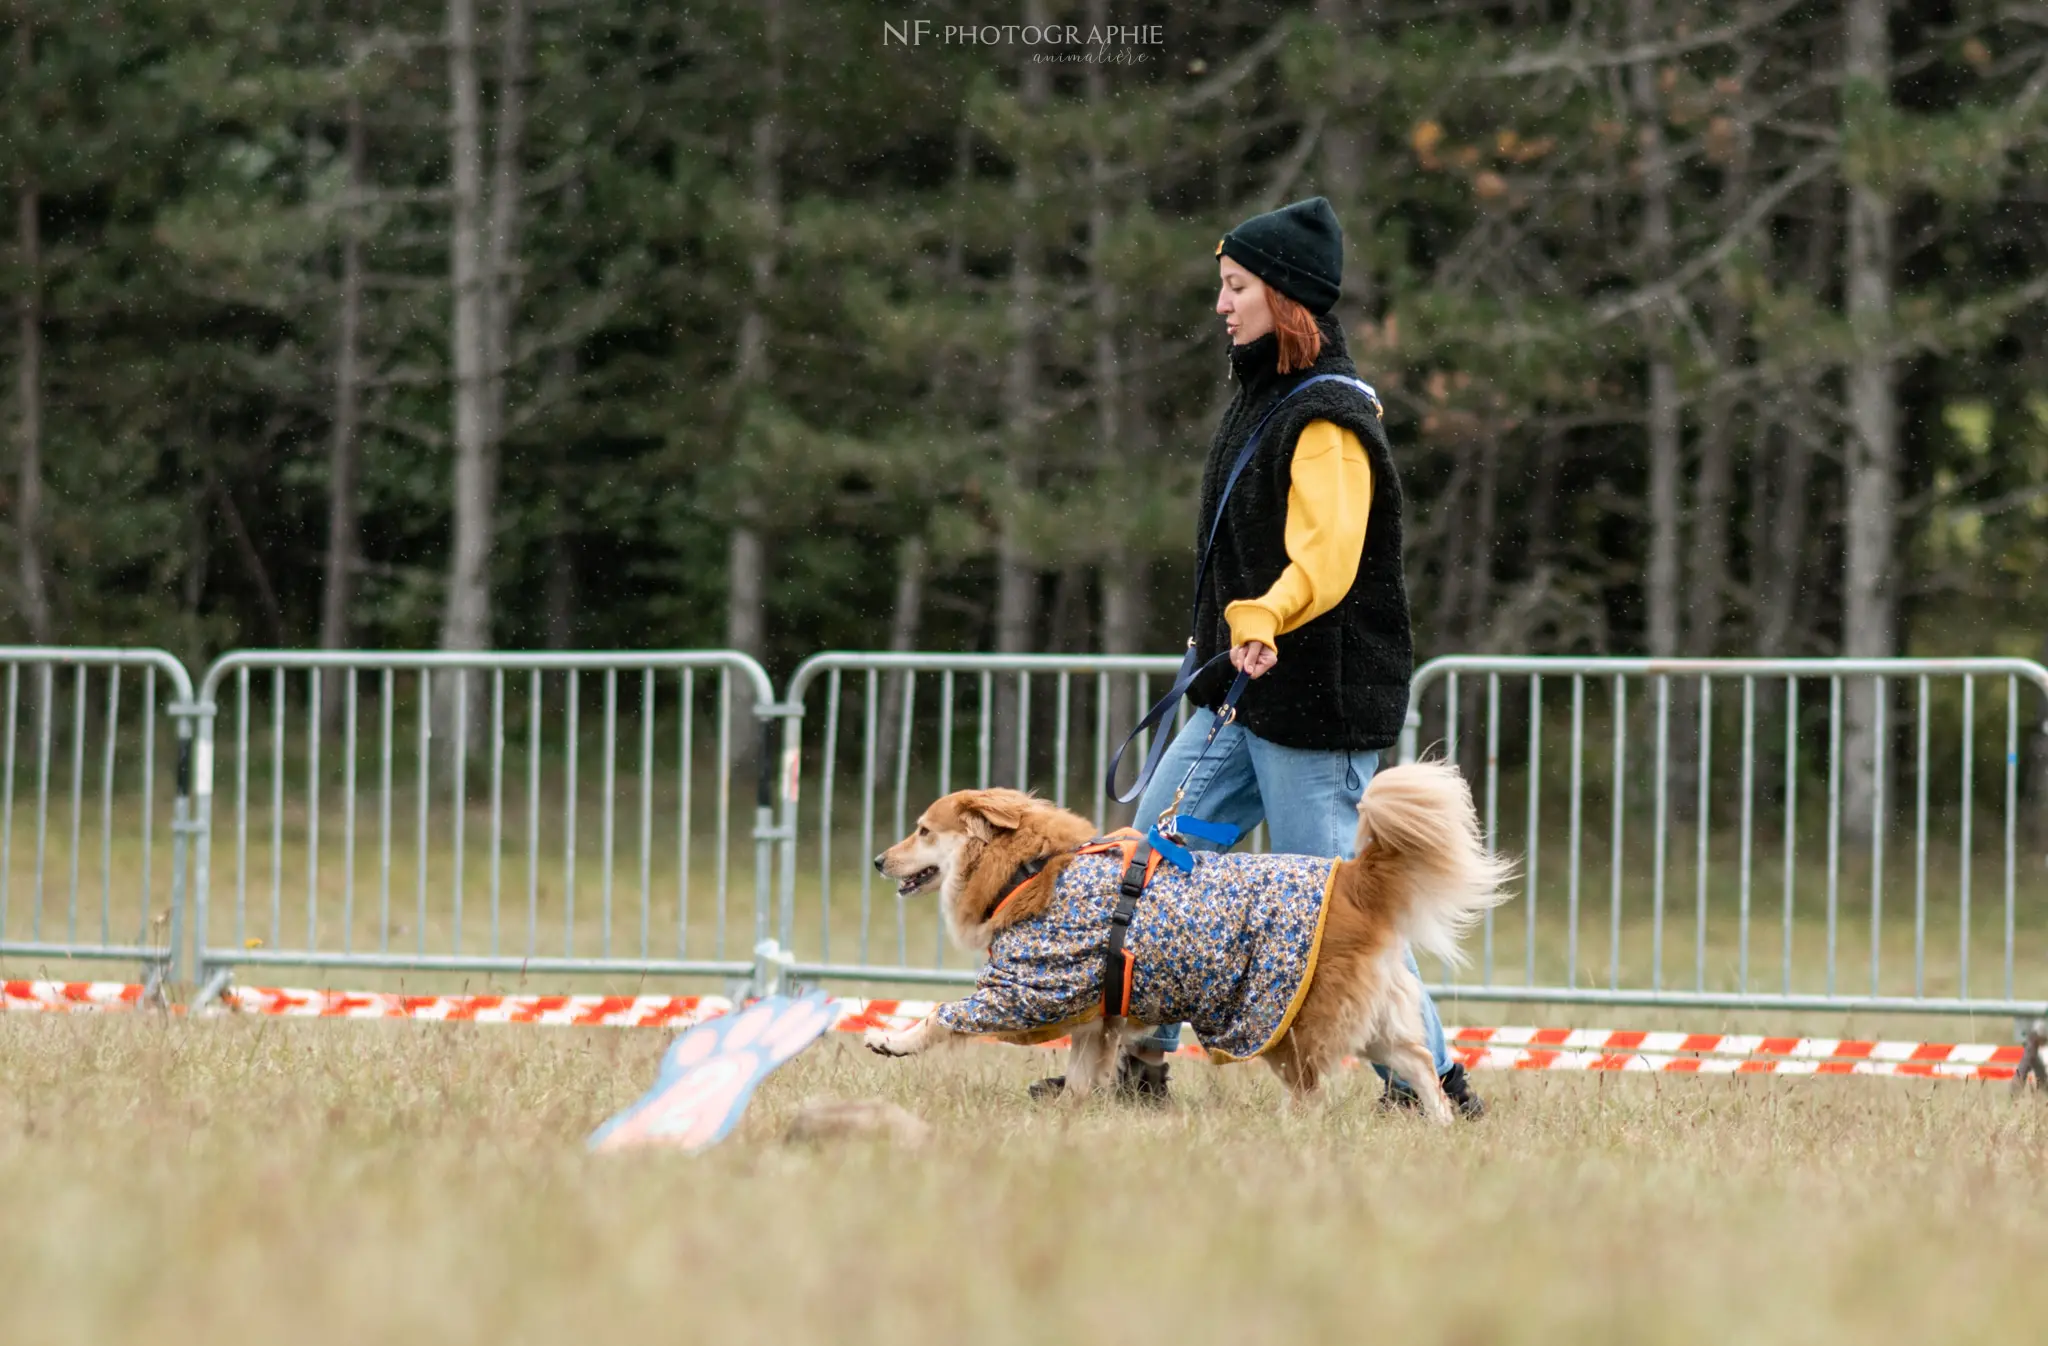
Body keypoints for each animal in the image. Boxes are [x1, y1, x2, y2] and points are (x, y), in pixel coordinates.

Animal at [856, 753, 1515, 1122]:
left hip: (1280, 1022)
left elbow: (942, 1015)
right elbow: (1082, 1074)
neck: (1031, 868)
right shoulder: (1096, 1014)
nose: (878, 860)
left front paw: (892, 1040)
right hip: (1369, 1015)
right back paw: (1440, 1125)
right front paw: (1068, 1115)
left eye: (922, 830)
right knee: (1419, 1062)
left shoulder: (1028, 988)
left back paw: (1287, 1134)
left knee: (1313, 1092)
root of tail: (1352, 878)